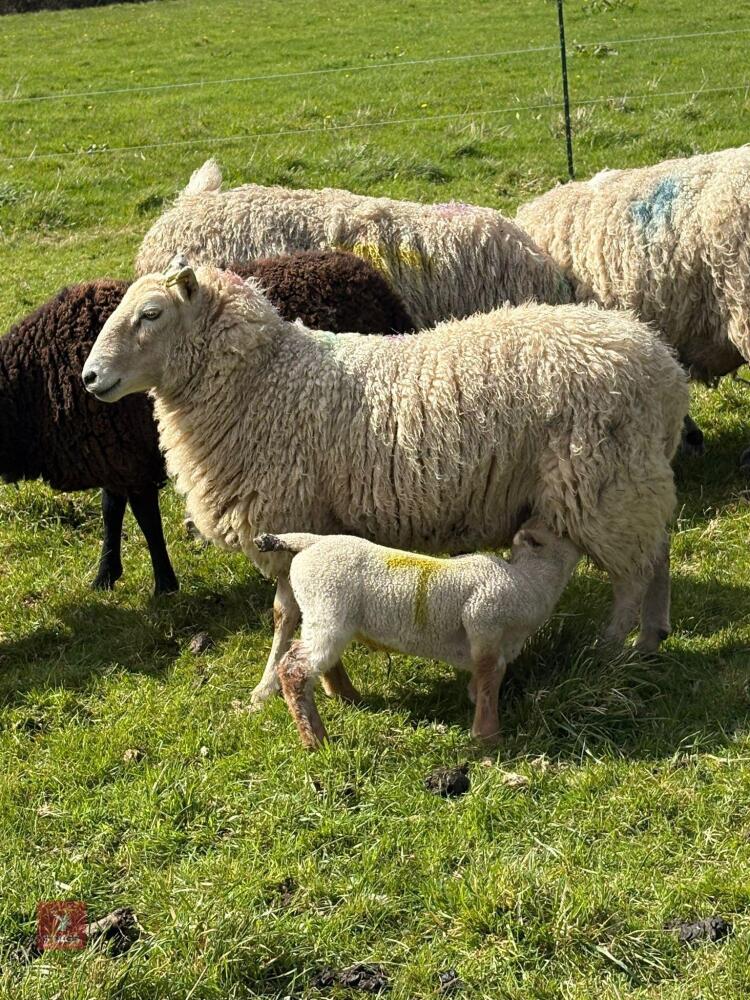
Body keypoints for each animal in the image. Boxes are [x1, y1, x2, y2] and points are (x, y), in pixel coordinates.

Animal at [2, 252, 414, 594]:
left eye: (151, 314)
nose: (90, 378)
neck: (34, 387)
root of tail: (371, 277)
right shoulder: (114, 458)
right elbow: (111, 511)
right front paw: (105, 576)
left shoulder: (130, 463)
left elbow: (144, 520)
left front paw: (164, 584)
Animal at [82, 258, 689, 710]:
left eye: (151, 314)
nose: (89, 378)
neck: (263, 380)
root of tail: (663, 365)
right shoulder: (304, 525)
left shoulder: (288, 514)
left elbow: (286, 614)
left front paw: (265, 689)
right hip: (631, 482)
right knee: (657, 553)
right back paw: (652, 638)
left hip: (604, 484)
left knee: (632, 576)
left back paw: (611, 651)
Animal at [253, 525, 581, 749]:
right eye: (560, 534)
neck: (530, 584)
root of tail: (310, 543)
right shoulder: (484, 621)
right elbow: (492, 674)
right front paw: (488, 736)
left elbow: (484, 675)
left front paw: (475, 699)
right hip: (328, 604)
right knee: (294, 669)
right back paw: (316, 740)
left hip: (325, 613)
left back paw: (345, 696)